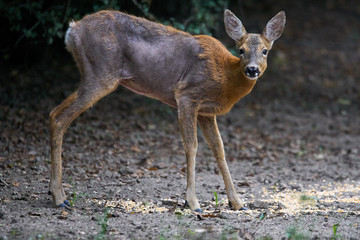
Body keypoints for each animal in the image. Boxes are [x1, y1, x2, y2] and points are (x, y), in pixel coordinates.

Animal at [49, 9, 286, 212]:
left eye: (265, 51)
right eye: (241, 50)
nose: (252, 69)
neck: (225, 77)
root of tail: (72, 31)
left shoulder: (207, 112)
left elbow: (219, 149)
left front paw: (237, 202)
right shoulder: (187, 96)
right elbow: (191, 146)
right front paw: (192, 202)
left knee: (55, 114)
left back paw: (56, 193)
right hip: (100, 72)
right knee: (58, 116)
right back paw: (60, 197)